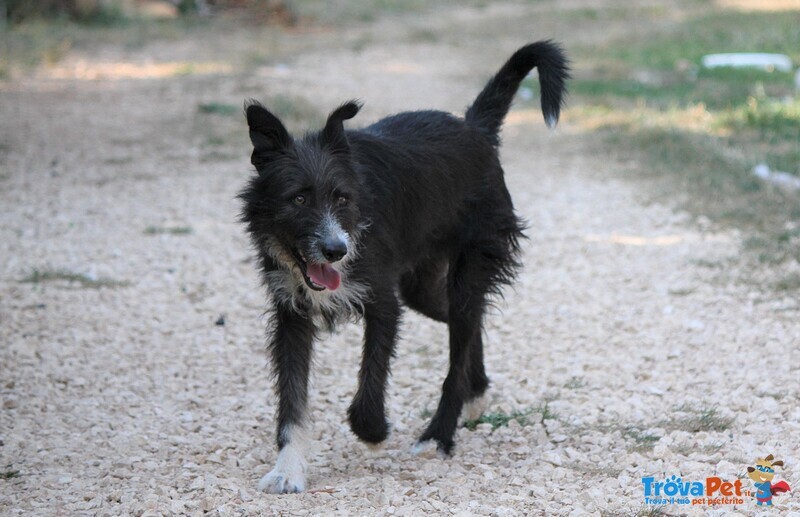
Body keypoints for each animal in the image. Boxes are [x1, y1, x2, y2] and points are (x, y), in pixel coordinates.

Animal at [239, 41, 568, 492]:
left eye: (342, 198)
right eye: (298, 199)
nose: (336, 251)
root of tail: (474, 129)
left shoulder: (383, 303)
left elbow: (369, 384)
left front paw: (374, 432)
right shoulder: (291, 314)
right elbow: (292, 399)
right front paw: (287, 468)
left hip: (468, 267)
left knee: (459, 347)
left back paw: (438, 434)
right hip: (422, 287)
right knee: (470, 321)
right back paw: (477, 391)